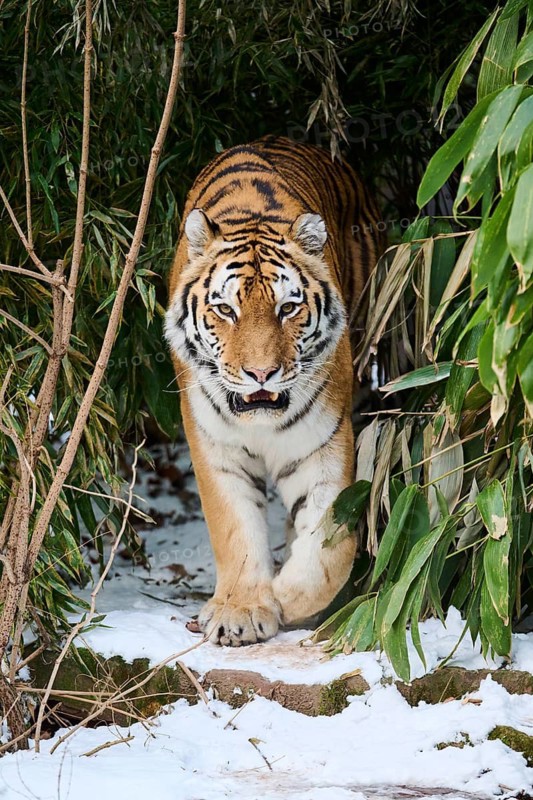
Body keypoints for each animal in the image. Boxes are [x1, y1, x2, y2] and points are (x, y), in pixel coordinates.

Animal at [165, 135, 383, 646]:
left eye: (288, 309)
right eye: (225, 309)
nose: (261, 374)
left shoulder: (323, 445)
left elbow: (330, 549)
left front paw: (286, 597)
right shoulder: (214, 446)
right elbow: (233, 529)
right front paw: (241, 609)